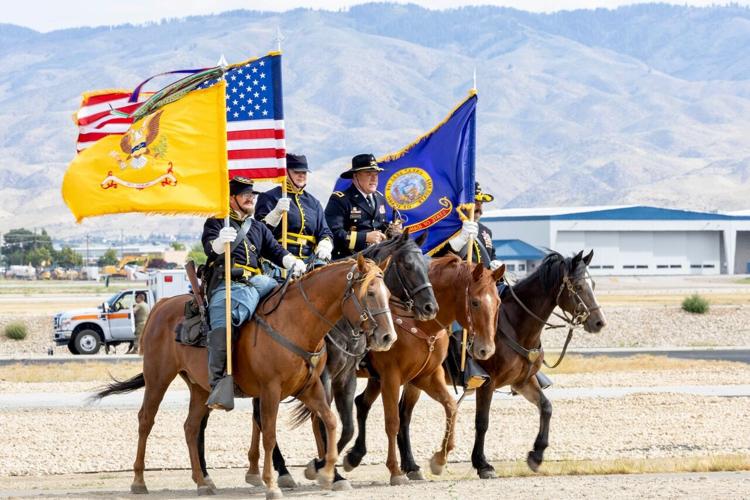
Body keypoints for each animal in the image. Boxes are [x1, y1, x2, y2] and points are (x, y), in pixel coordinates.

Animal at [94, 256, 400, 498]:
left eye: (388, 292)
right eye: (370, 293)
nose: (388, 337)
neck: (296, 322)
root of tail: (162, 304)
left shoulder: (310, 388)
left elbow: (332, 421)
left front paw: (325, 473)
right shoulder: (271, 391)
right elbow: (270, 435)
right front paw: (272, 484)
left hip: (199, 388)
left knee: (191, 427)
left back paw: (202, 482)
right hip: (158, 377)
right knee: (146, 420)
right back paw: (139, 481)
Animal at [245, 232, 440, 490]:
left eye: (426, 266)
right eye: (407, 265)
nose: (430, 307)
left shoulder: (348, 376)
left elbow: (347, 426)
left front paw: (331, 463)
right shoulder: (325, 377)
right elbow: (323, 421)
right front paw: (326, 468)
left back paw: (256, 470)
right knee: (262, 417)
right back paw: (282, 470)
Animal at [396, 250, 608, 480]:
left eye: (593, 284)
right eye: (578, 286)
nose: (599, 322)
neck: (515, 325)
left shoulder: (523, 382)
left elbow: (546, 407)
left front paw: (536, 455)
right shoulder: (487, 383)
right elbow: (482, 422)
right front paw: (482, 464)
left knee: (403, 414)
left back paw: (410, 466)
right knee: (404, 416)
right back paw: (411, 466)